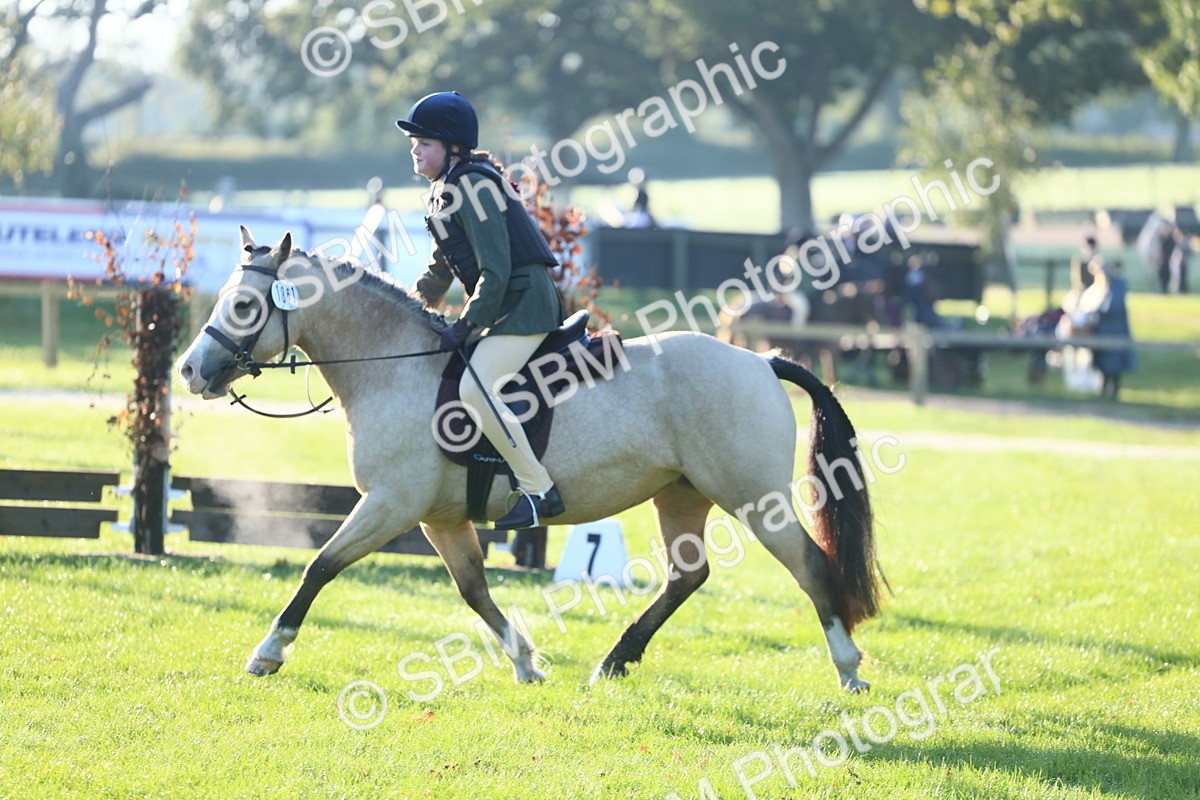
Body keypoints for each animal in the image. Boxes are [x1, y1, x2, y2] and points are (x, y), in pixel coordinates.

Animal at [175, 227, 886, 692]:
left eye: (244, 305)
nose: (189, 371)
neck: (393, 367)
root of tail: (760, 360)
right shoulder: (439, 518)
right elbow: (474, 591)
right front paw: (527, 663)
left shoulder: (390, 505)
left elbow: (320, 566)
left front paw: (268, 652)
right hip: (682, 492)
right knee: (688, 576)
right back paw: (615, 661)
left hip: (752, 498)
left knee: (810, 568)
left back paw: (849, 672)